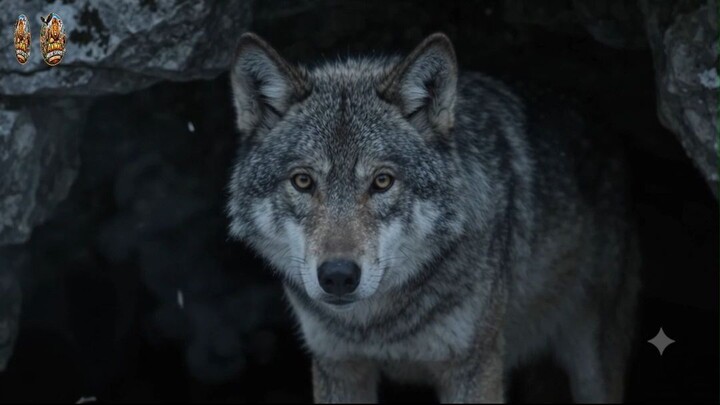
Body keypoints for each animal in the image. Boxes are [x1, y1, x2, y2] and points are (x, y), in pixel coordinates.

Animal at [226, 32, 640, 403]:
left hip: (591, 362)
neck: (378, 326)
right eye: (303, 181)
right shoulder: (338, 366)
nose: (338, 275)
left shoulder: (472, 369)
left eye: (382, 181)